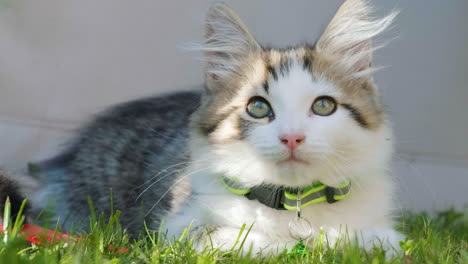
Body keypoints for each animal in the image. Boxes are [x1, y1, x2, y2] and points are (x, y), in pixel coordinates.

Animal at [9, 0, 404, 256]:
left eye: (323, 106)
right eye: (258, 107)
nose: (292, 137)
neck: (292, 204)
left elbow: (379, 240)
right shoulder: (177, 227)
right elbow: (247, 240)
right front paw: (293, 244)